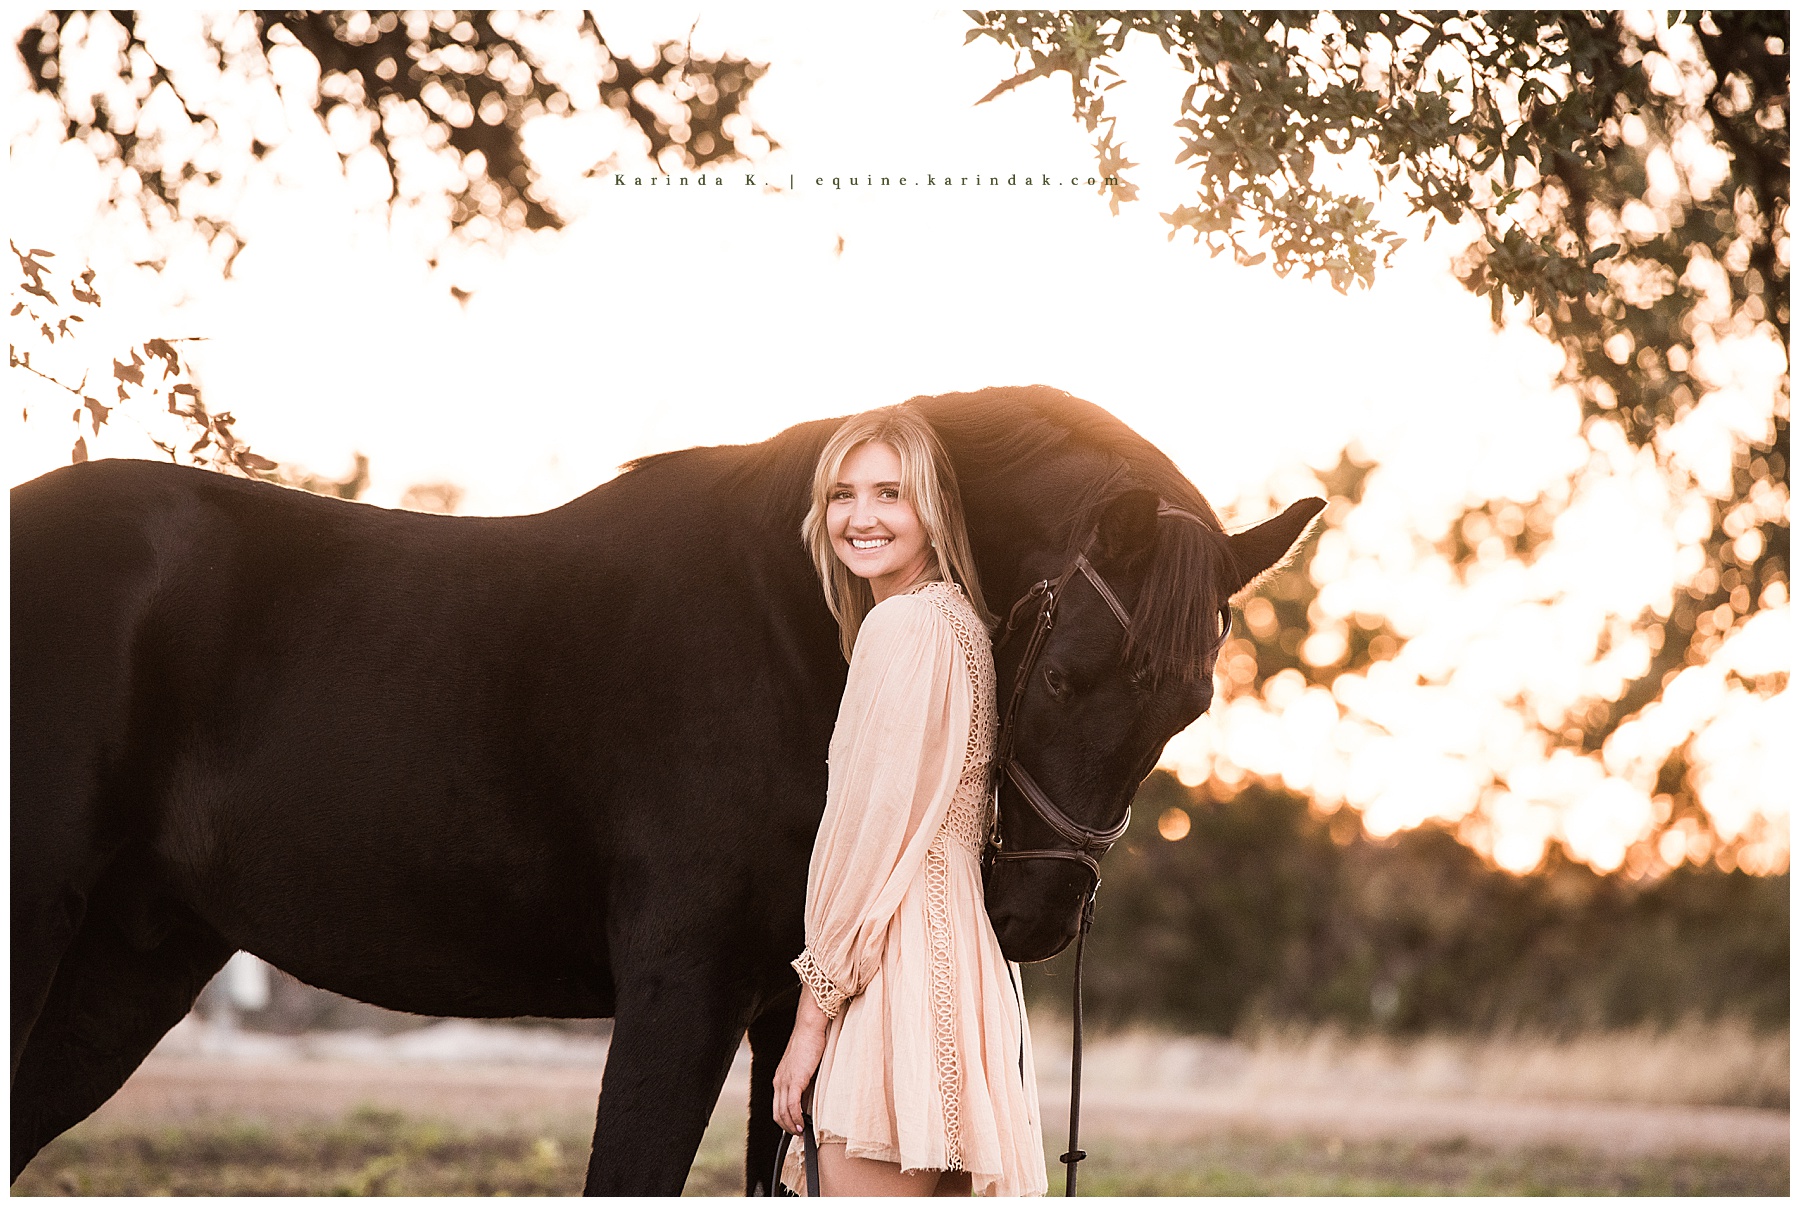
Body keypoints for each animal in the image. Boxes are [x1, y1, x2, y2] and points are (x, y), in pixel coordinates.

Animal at [10, 384, 1322, 1193]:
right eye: (1060, 673)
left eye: (1186, 708)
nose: (1037, 914)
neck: (793, 629)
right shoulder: (679, 989)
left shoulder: (788, 1010)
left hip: (132, 959)